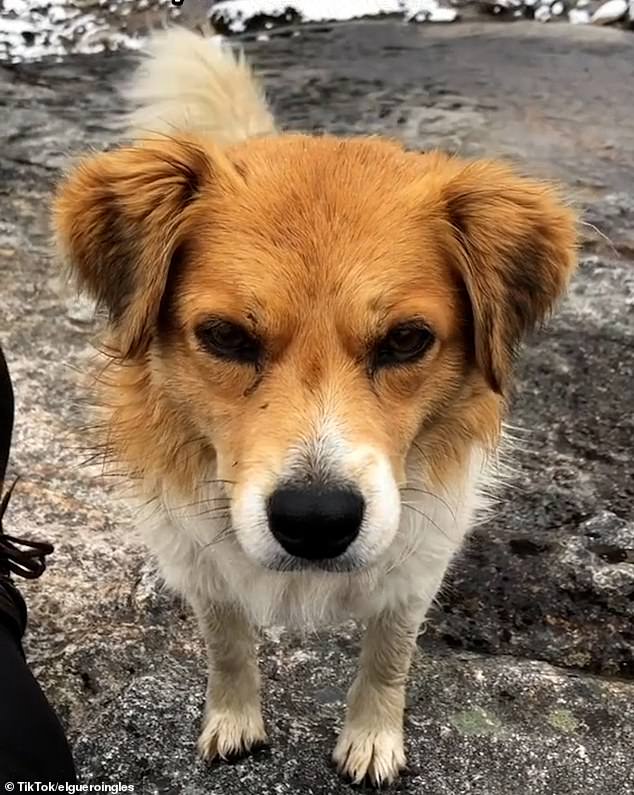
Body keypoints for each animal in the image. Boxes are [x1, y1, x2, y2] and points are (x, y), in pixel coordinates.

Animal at [54, 26, 576, 788]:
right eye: (225, 336)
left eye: (406, 339)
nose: (316, 521)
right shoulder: (203, 566)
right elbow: (228, 645)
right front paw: (235, 719)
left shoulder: (416, 566)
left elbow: (388, 656)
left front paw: (372, 737)